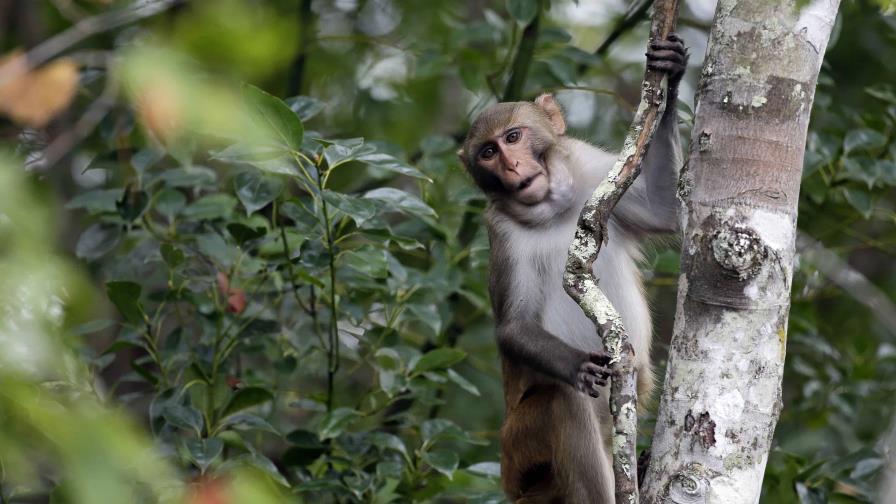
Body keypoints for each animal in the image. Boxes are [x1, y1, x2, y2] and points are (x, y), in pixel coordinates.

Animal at [458, 33, 688, 502]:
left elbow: (665, 210)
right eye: (488, 152)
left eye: (513, 137)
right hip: (521, 448)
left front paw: (671, 75)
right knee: (563, 404)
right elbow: (514, 327)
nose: (511, 166)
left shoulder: (594, 170)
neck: (554, 210)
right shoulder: (502, 233)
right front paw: (576, 365)